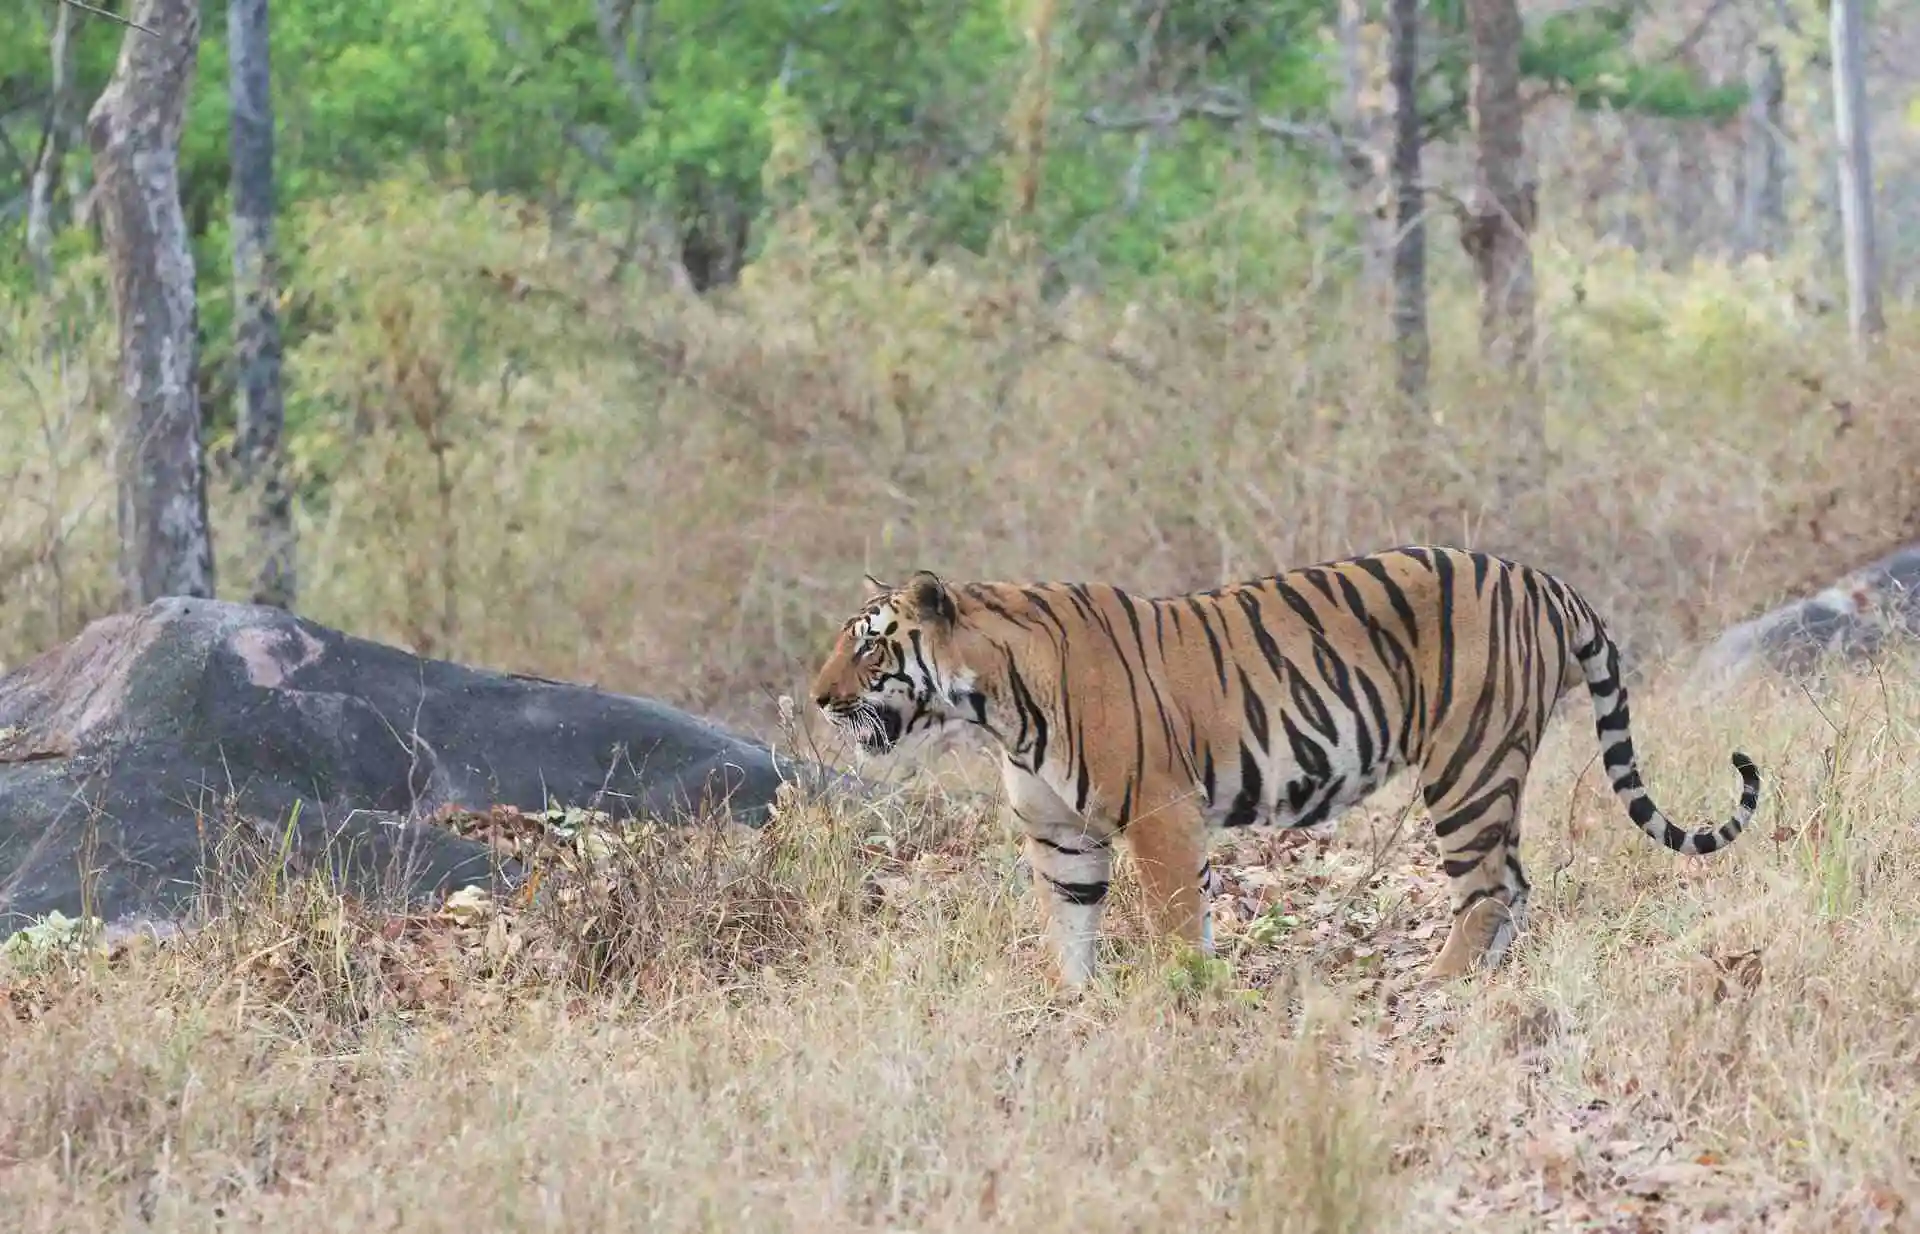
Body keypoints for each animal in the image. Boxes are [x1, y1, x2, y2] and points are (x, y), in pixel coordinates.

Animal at [802, 545, 1758, 990]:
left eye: (869, 647)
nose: (815, 699)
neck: (995, 706)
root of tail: (1549, 581)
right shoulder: (1060, 834)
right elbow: (1070, 925)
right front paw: (1070, 1002)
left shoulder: (1159, 811)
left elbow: (1175, 919)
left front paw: (1183, 995)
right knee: (1514, 886)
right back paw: (1483, 979)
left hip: (1467, 764)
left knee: (1491, 887)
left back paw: (1442, 984)